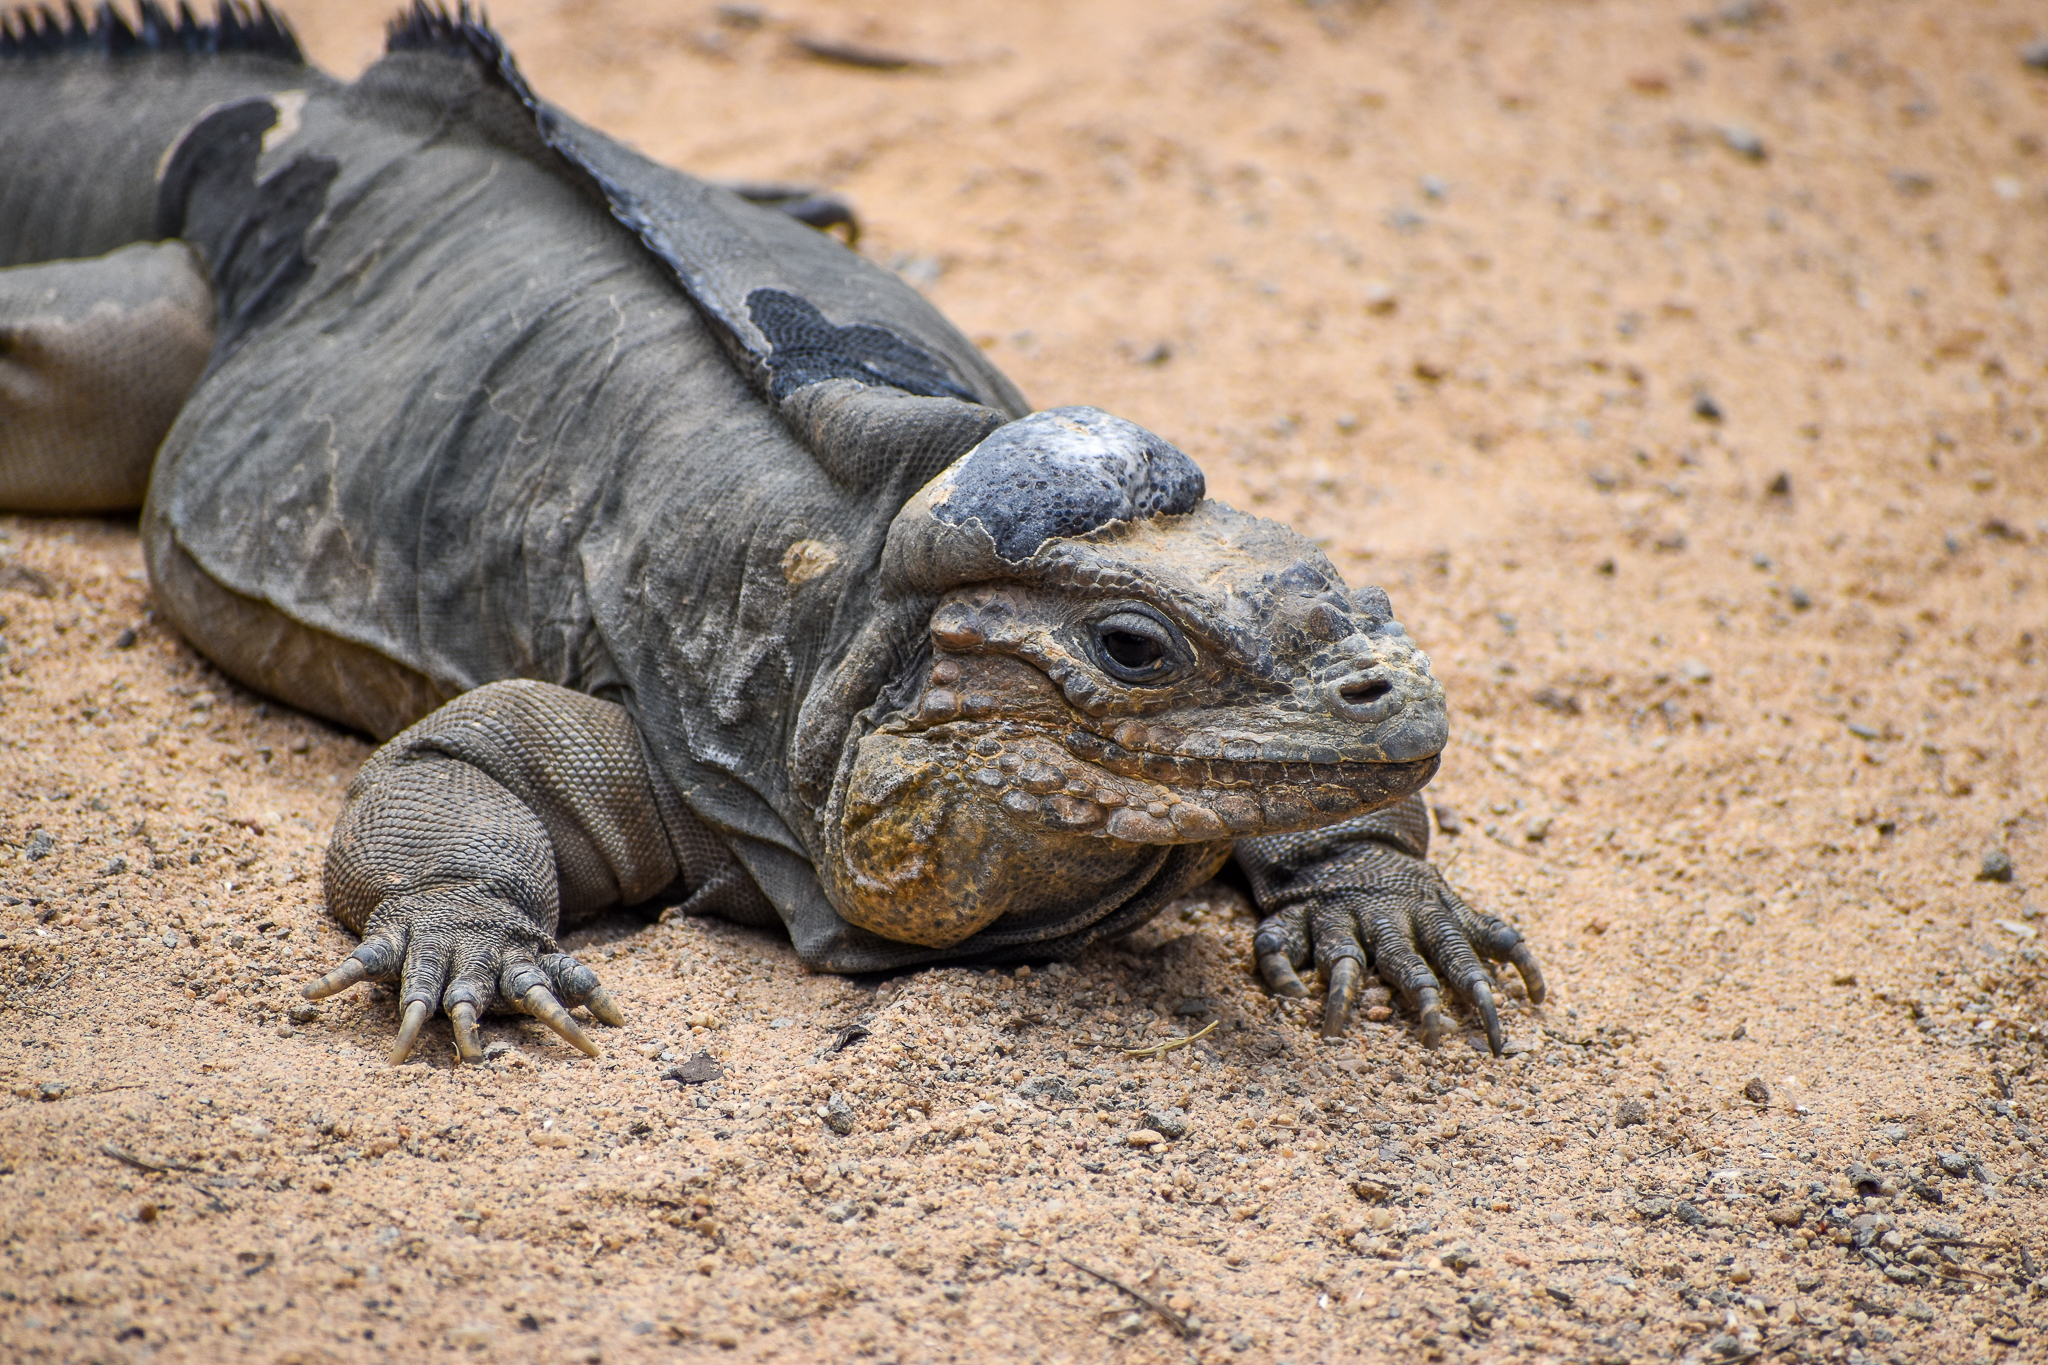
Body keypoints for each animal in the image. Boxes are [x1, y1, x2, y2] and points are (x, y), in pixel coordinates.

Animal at [0, 1, 1544, 1063]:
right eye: (1130, 645)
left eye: (1344, 591)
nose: (1391, 692)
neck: (846, 625)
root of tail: (311, 107)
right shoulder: (667, 733)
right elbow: (456, 763)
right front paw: (466, 940)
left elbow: (1352, 809)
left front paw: (1379, 901)